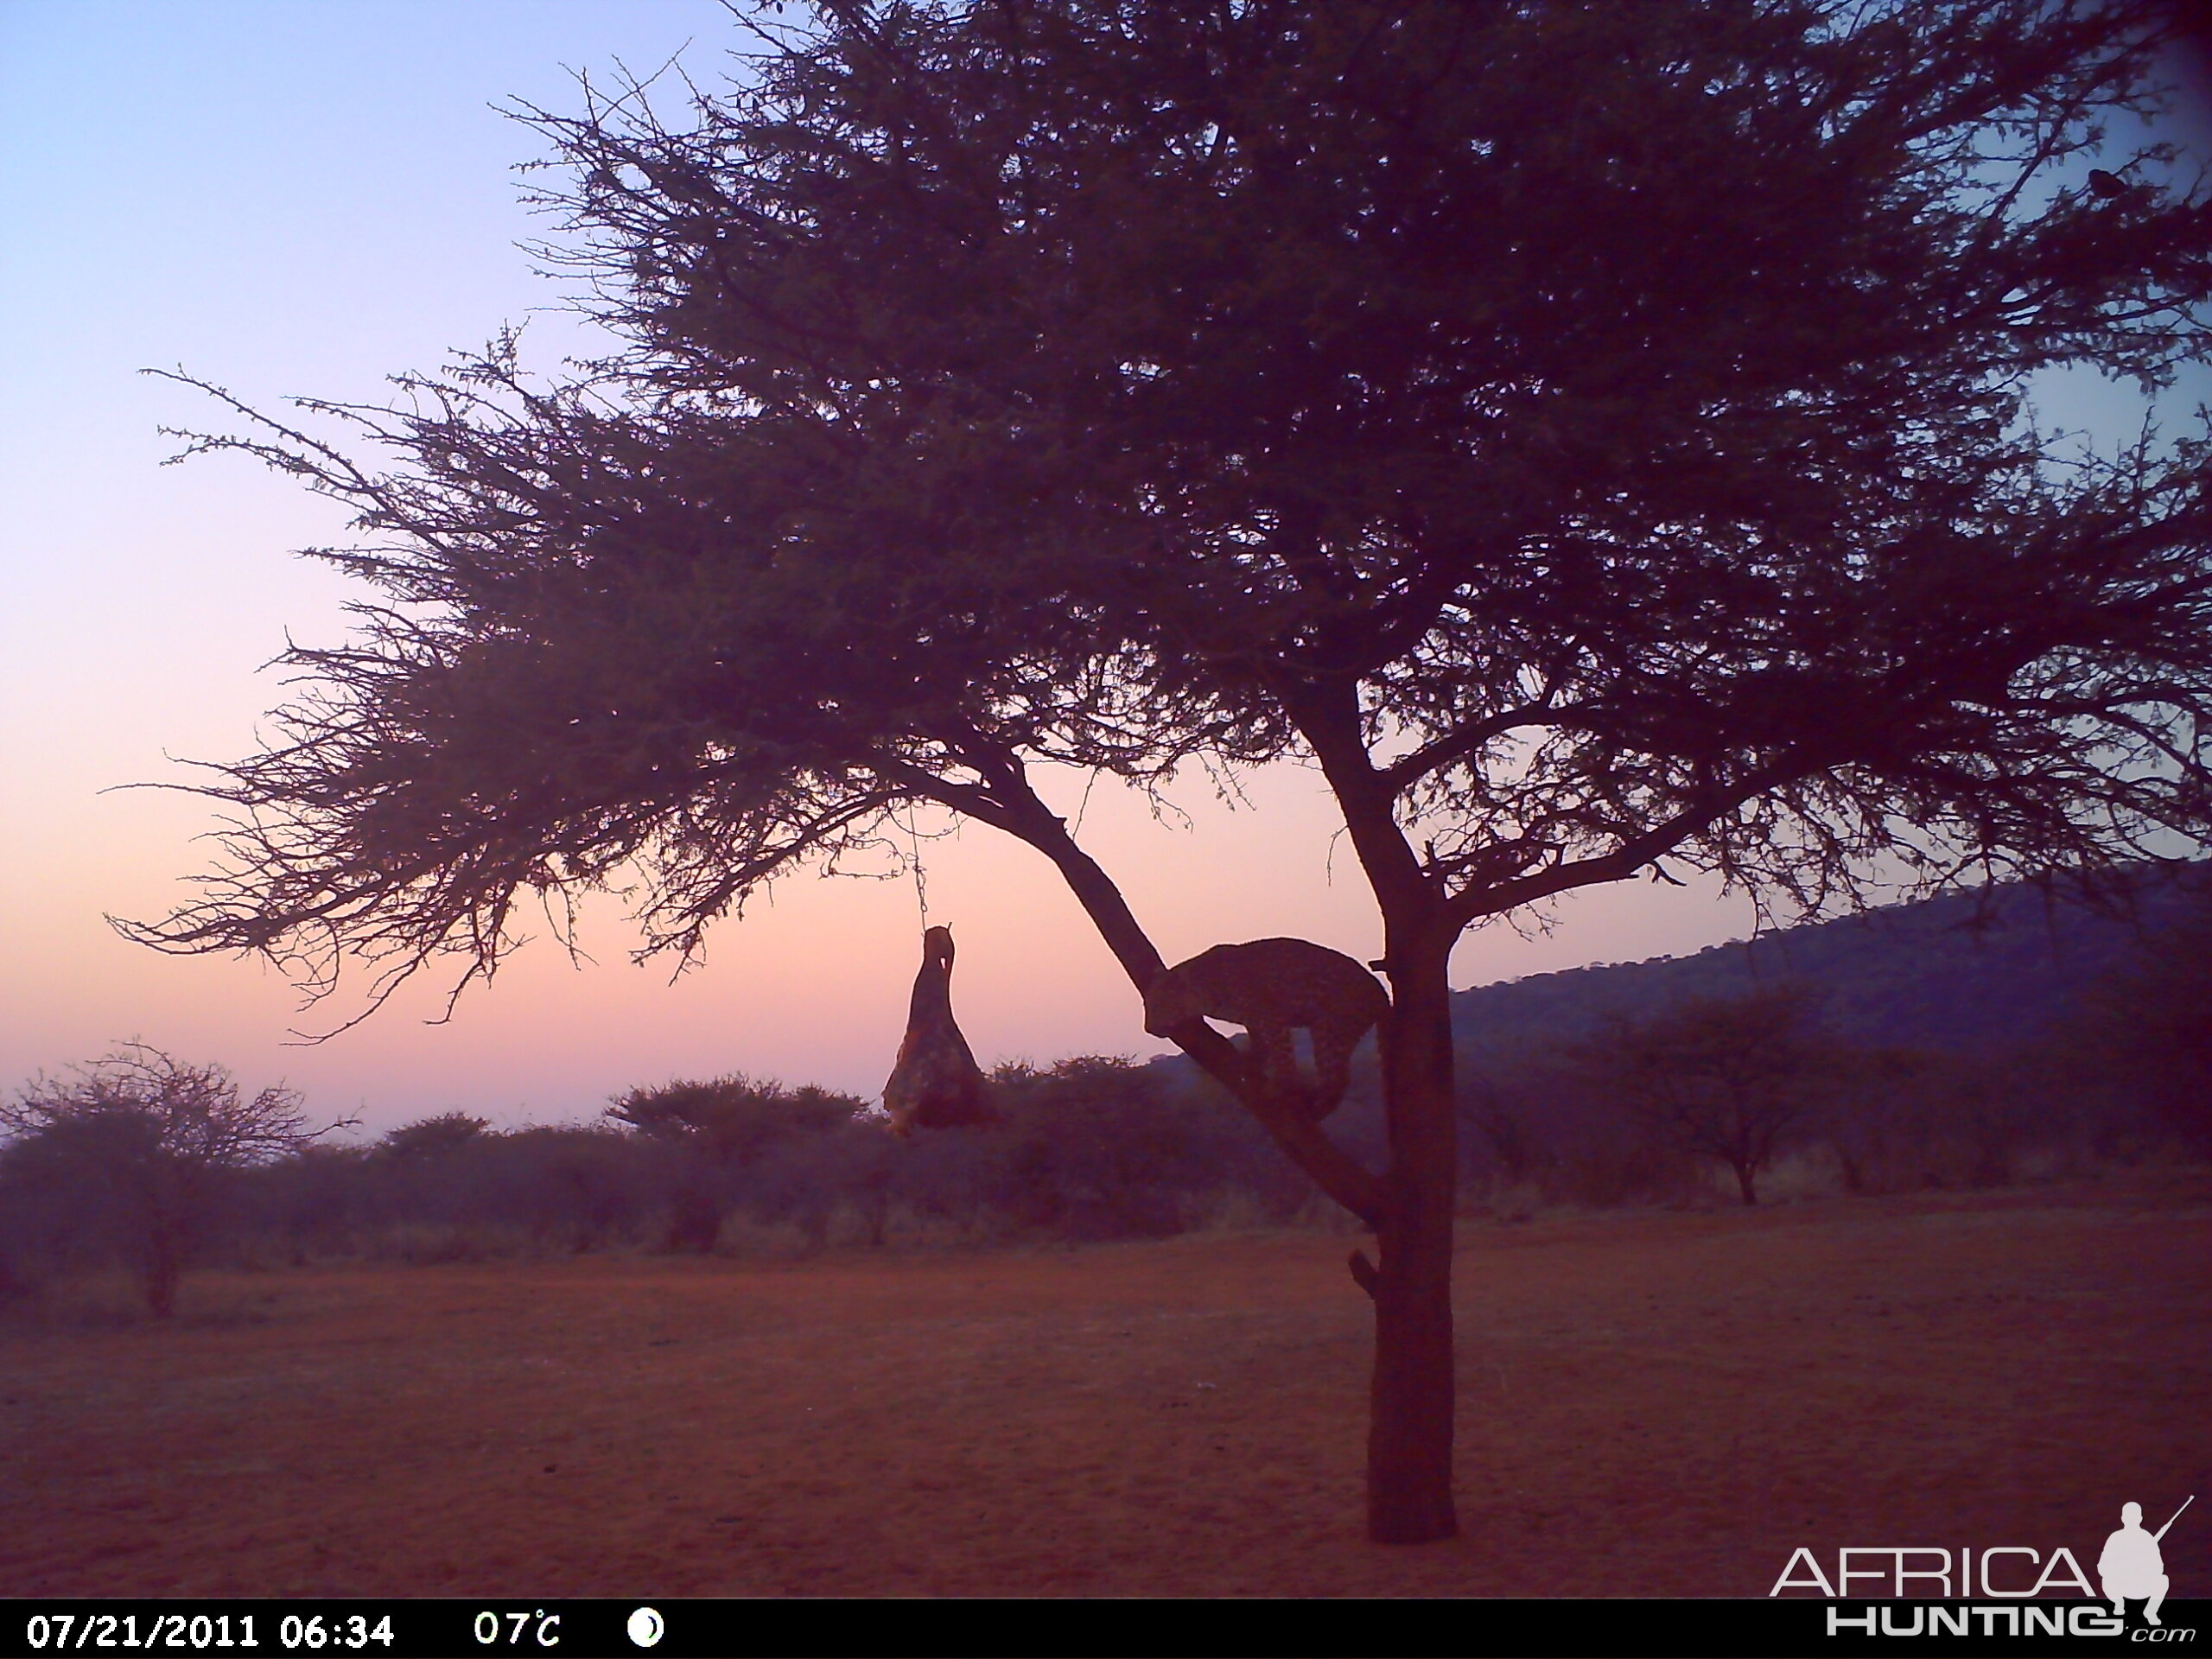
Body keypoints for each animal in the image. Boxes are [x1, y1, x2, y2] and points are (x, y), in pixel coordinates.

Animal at [1141, 942, 1380, 1123]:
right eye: (1146, 1005)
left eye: (1159, 1005)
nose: (1148, 1029)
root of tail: (1378, 989)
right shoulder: (1254, 1022)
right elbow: (1261, 1046)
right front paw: (1251, 1062)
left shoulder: (1271, 1017)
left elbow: (1282, 1055)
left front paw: (1282, 1086)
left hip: (1330, 1027)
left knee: (1339, 1079)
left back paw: (1314, 1107)